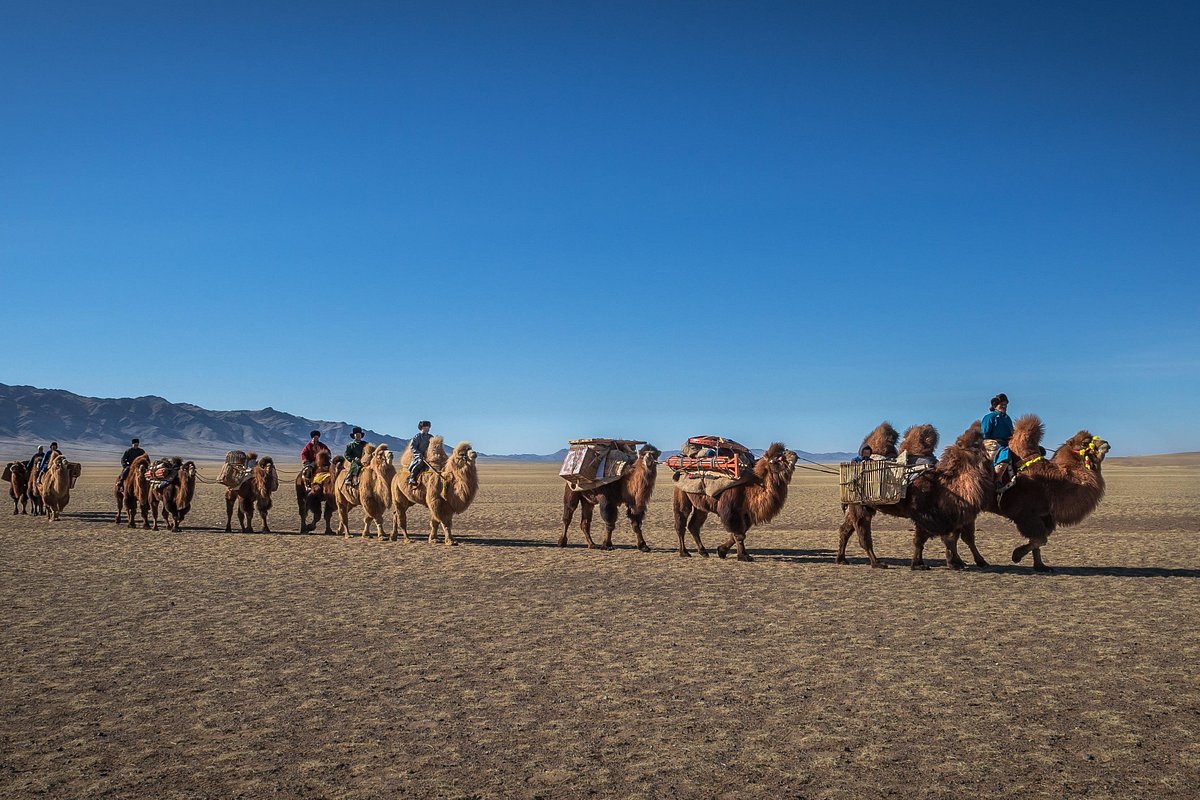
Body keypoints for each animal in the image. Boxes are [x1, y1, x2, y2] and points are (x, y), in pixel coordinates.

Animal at [835, 424, 993, 568]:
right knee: (863, 534)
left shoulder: (947, 516)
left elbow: (954, 538)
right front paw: (919, 564)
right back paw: (876, 563)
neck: (943, 485)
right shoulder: (924, 514)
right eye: (976, 444)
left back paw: (842, 559)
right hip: (859, 505)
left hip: (861, 505)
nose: (993, 444)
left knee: (846, 530)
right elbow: (923, 539)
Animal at [950, 417, 1108, 573]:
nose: (1106, 444)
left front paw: (1041, 566)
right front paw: (1016, 556)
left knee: (959, 534)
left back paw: (966, 562)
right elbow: (1040, 539)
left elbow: (1038, 540)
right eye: (1085, 443)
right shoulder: (1025, 515)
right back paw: (966, 562)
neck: (1055, 482)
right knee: (962, 535)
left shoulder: (1044, 516)